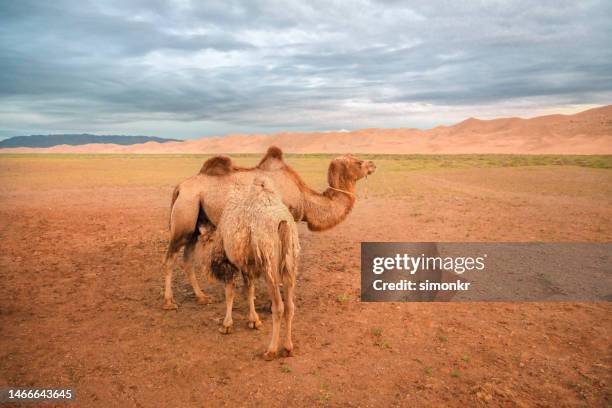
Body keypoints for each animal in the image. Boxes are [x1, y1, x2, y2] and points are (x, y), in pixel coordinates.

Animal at [161, 147, 372, 310]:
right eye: (358, 163)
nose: (372, 165)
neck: (303, 198)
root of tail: (180, 187)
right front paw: (273, 303)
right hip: (185, 214)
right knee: (170, 257)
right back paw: (169, 302)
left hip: (195, 225)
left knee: (187, 258)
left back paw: (202, 297)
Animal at [204, 177, 300, 358]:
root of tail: (283, 223)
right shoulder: (248, 264)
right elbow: (249, 290)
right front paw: (254, 321)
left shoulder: (230, 263)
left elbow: (230, 292)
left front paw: (226, 325)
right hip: (290, 265)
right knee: (290, 305)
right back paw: (288, 347)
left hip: (269, 267)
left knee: (278, 307)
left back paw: (271, 350)